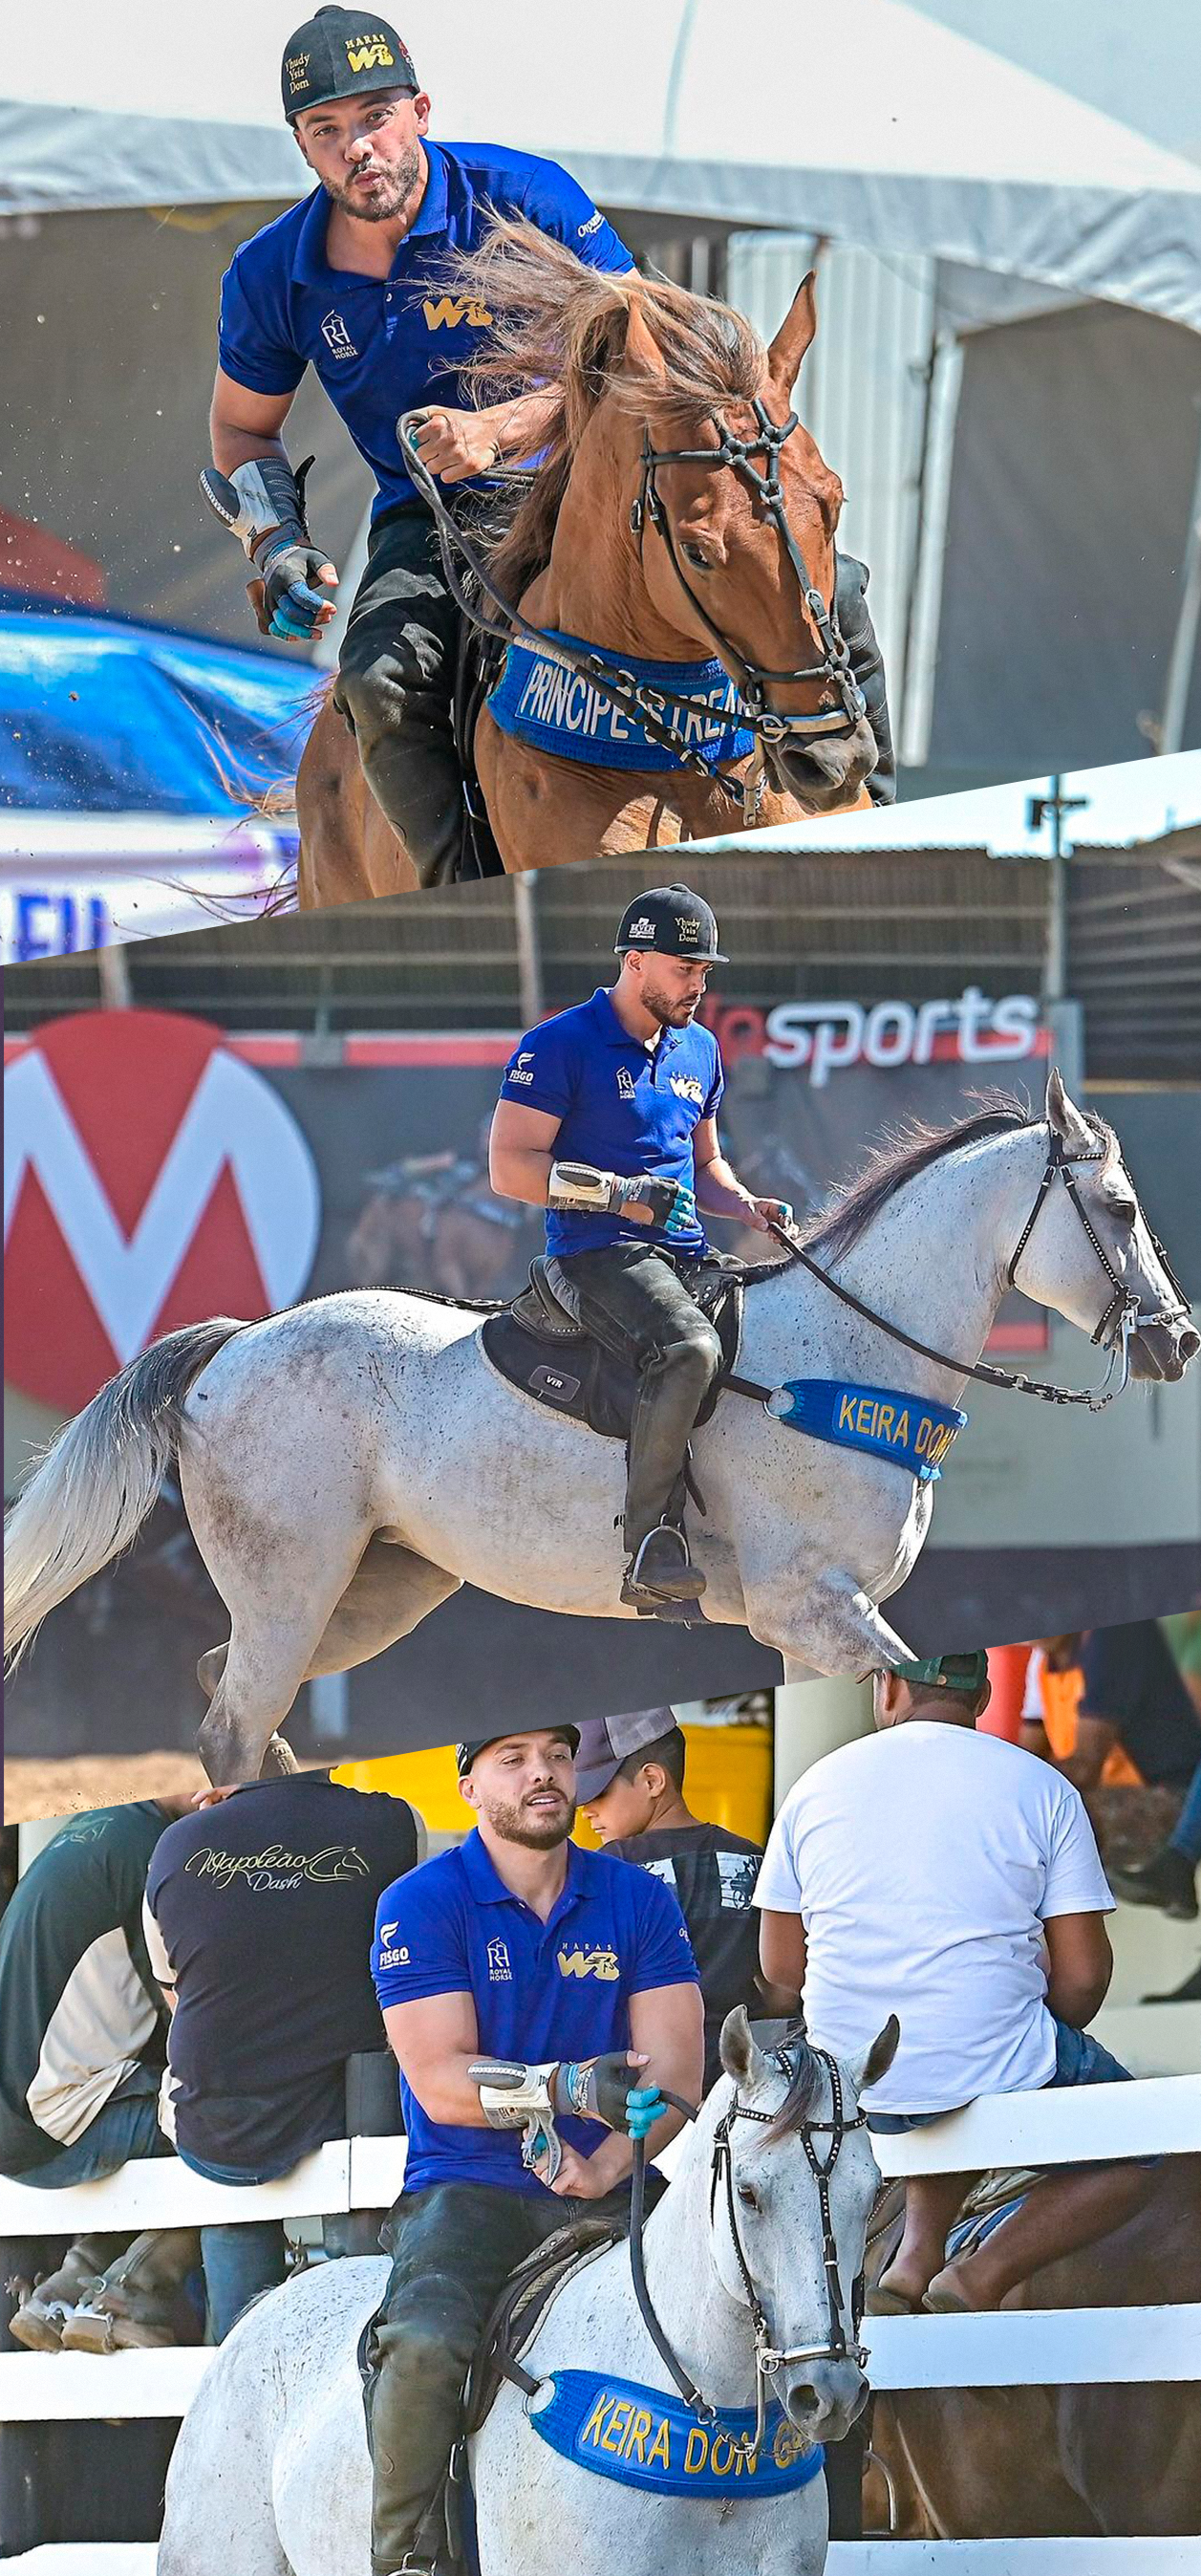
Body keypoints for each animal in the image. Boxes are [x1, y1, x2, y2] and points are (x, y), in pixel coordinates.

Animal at [7, 1072, 1190, 1792]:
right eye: (1122, 1210)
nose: (1178, 1341)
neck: (847, 1353)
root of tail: (233, 1348)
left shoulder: (825, 1621)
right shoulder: (811, 1607)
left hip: (368, 1592)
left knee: (231, 1698)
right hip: (293, 1586)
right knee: (231, 1726)